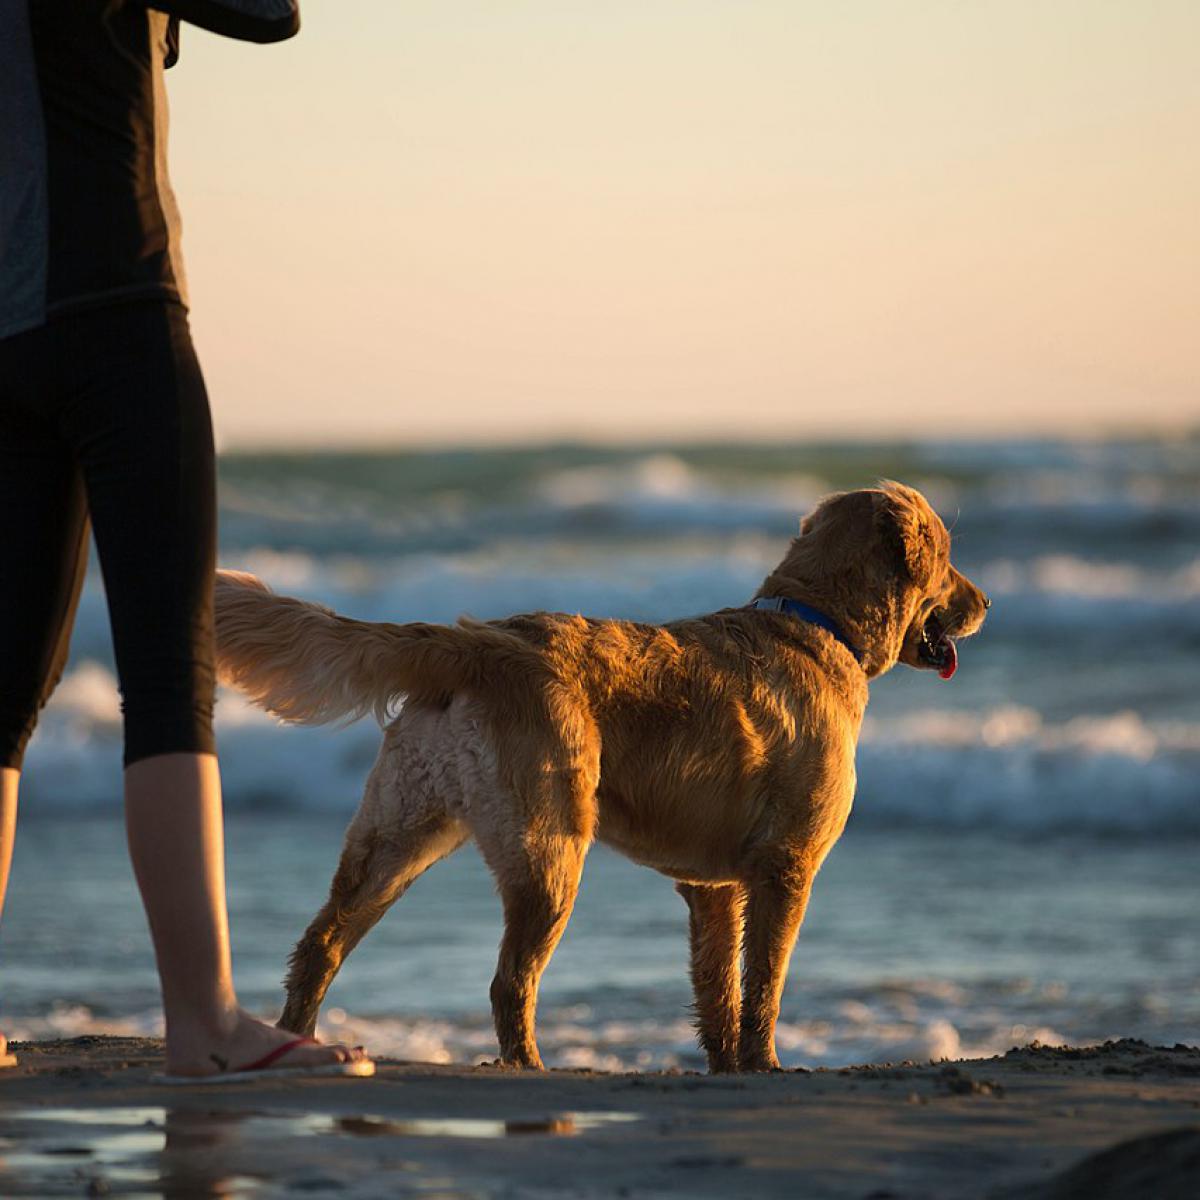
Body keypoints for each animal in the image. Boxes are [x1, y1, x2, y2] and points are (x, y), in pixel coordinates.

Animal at [213, 477, 984, 1070]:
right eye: (948, 556)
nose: (986, 604)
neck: (817, 622)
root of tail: (476, 643)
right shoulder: (786, 866)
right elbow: (764, 982)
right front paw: (765, 1064)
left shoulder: (713, 887)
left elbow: (719, 988)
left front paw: (726, 1066)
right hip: (549, 847)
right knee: (508, 982)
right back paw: (527, 1067)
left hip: (399, 834)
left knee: (321, 943)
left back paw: (299, 1042)